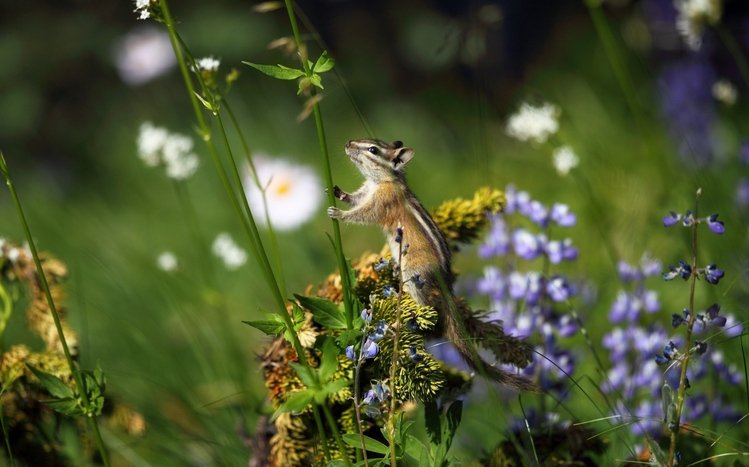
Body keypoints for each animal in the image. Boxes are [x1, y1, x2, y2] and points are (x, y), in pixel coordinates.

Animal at [327, 139, 535, 391]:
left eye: (373, 150)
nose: (348, 143)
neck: (383, 180)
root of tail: (446, 285)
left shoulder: (381, 201)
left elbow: (364, 214)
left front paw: (338, 213)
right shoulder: (366, 191)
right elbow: (356, 198)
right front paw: (339, 193)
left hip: (415, 275)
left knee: (429, 310)